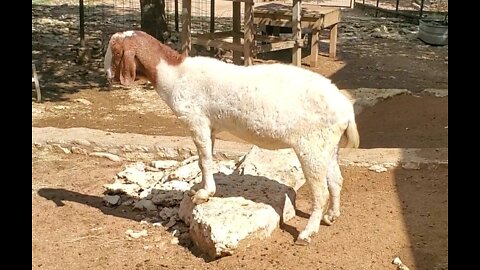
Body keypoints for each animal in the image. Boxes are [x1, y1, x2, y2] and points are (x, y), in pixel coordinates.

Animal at [106, 30, 360, 245]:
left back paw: (307, 233)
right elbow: (205, 159)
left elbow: (204, 160)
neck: (175, 74)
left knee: (321, 192)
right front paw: (201, 188)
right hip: (328, 146)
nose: (107, 74)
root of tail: (346, 109)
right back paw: (332, 216)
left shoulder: (196, 122)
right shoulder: (210, 128)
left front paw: (204, 194)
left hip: (311, 147)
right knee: (336, 180)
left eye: (115, 51)